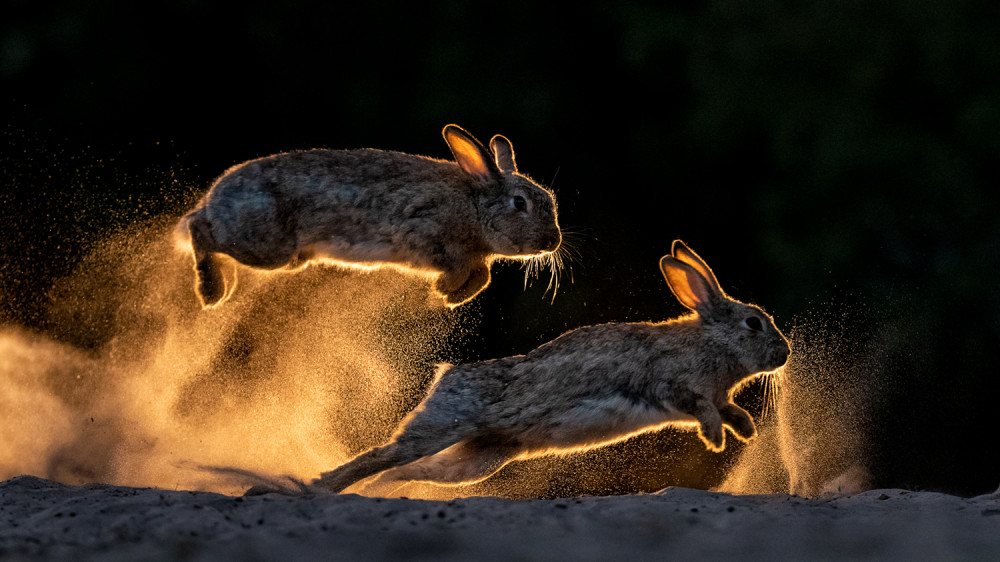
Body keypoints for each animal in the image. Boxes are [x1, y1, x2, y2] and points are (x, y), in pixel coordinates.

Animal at [175, 124, 560, 306]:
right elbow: (466, 270)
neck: (475, 206)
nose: (553, 241)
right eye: (519, 204)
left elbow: (482, 277)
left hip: (287, 258)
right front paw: (443, 290)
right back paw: (211, 292)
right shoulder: (426, 233)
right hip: (267, 246)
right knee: (199, 229)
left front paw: (450, 298)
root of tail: (212, 198)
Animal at [312, 238, 788, 492]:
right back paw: (324, 487)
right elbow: (701, 408)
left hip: (482, 458)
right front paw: (716, 441)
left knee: (414, 470)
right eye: (753, 323)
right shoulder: (674, 385)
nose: (783, 354)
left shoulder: (716, 394)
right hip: (443, 426)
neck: (710, 341)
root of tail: (445, 376)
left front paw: (746, 432)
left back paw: (379, 490)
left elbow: (727, 409)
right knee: (385, 454)